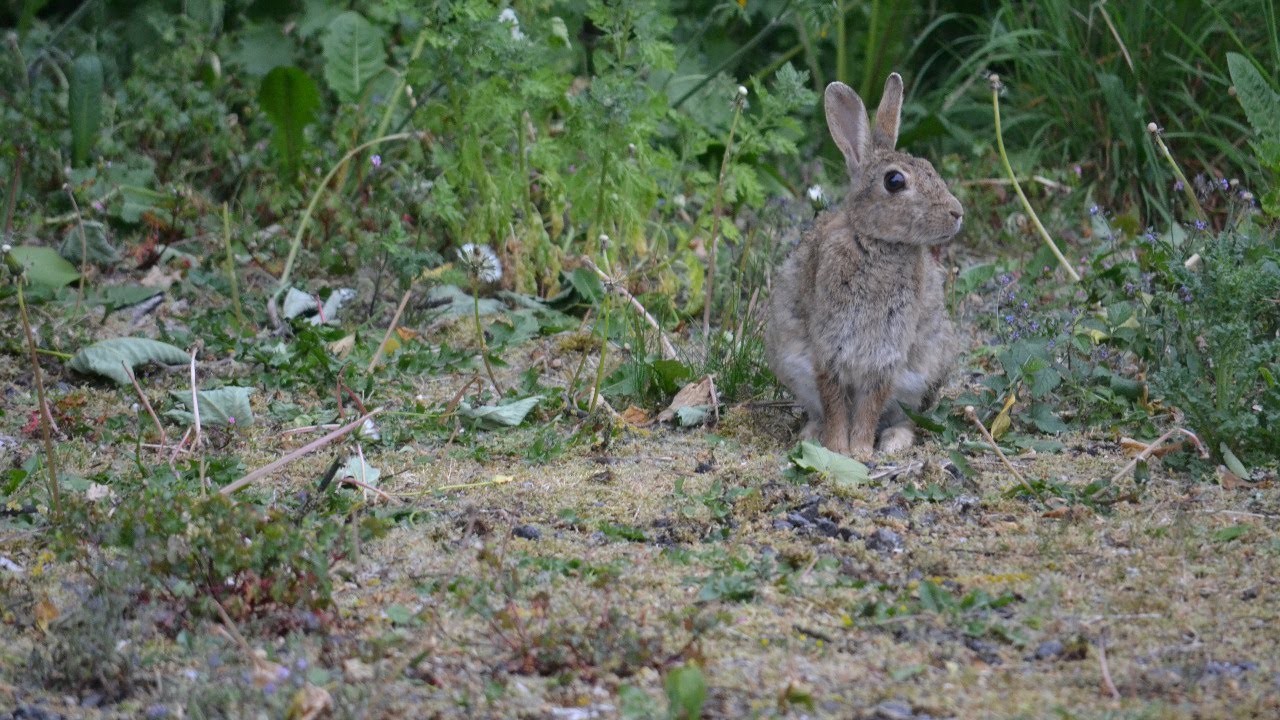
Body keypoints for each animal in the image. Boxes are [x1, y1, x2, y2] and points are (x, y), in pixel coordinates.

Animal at [765, 73, 963, 457]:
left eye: (930, 168)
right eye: (895, 181)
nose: (957, 212)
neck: (876, 243)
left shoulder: (886, 356)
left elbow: (869, 407)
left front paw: (858, 451)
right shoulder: (828, 352)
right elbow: (835, 404)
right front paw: (837, 449)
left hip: (921, 379)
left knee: (905, 417)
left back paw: (893, 443)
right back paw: (811, 435)